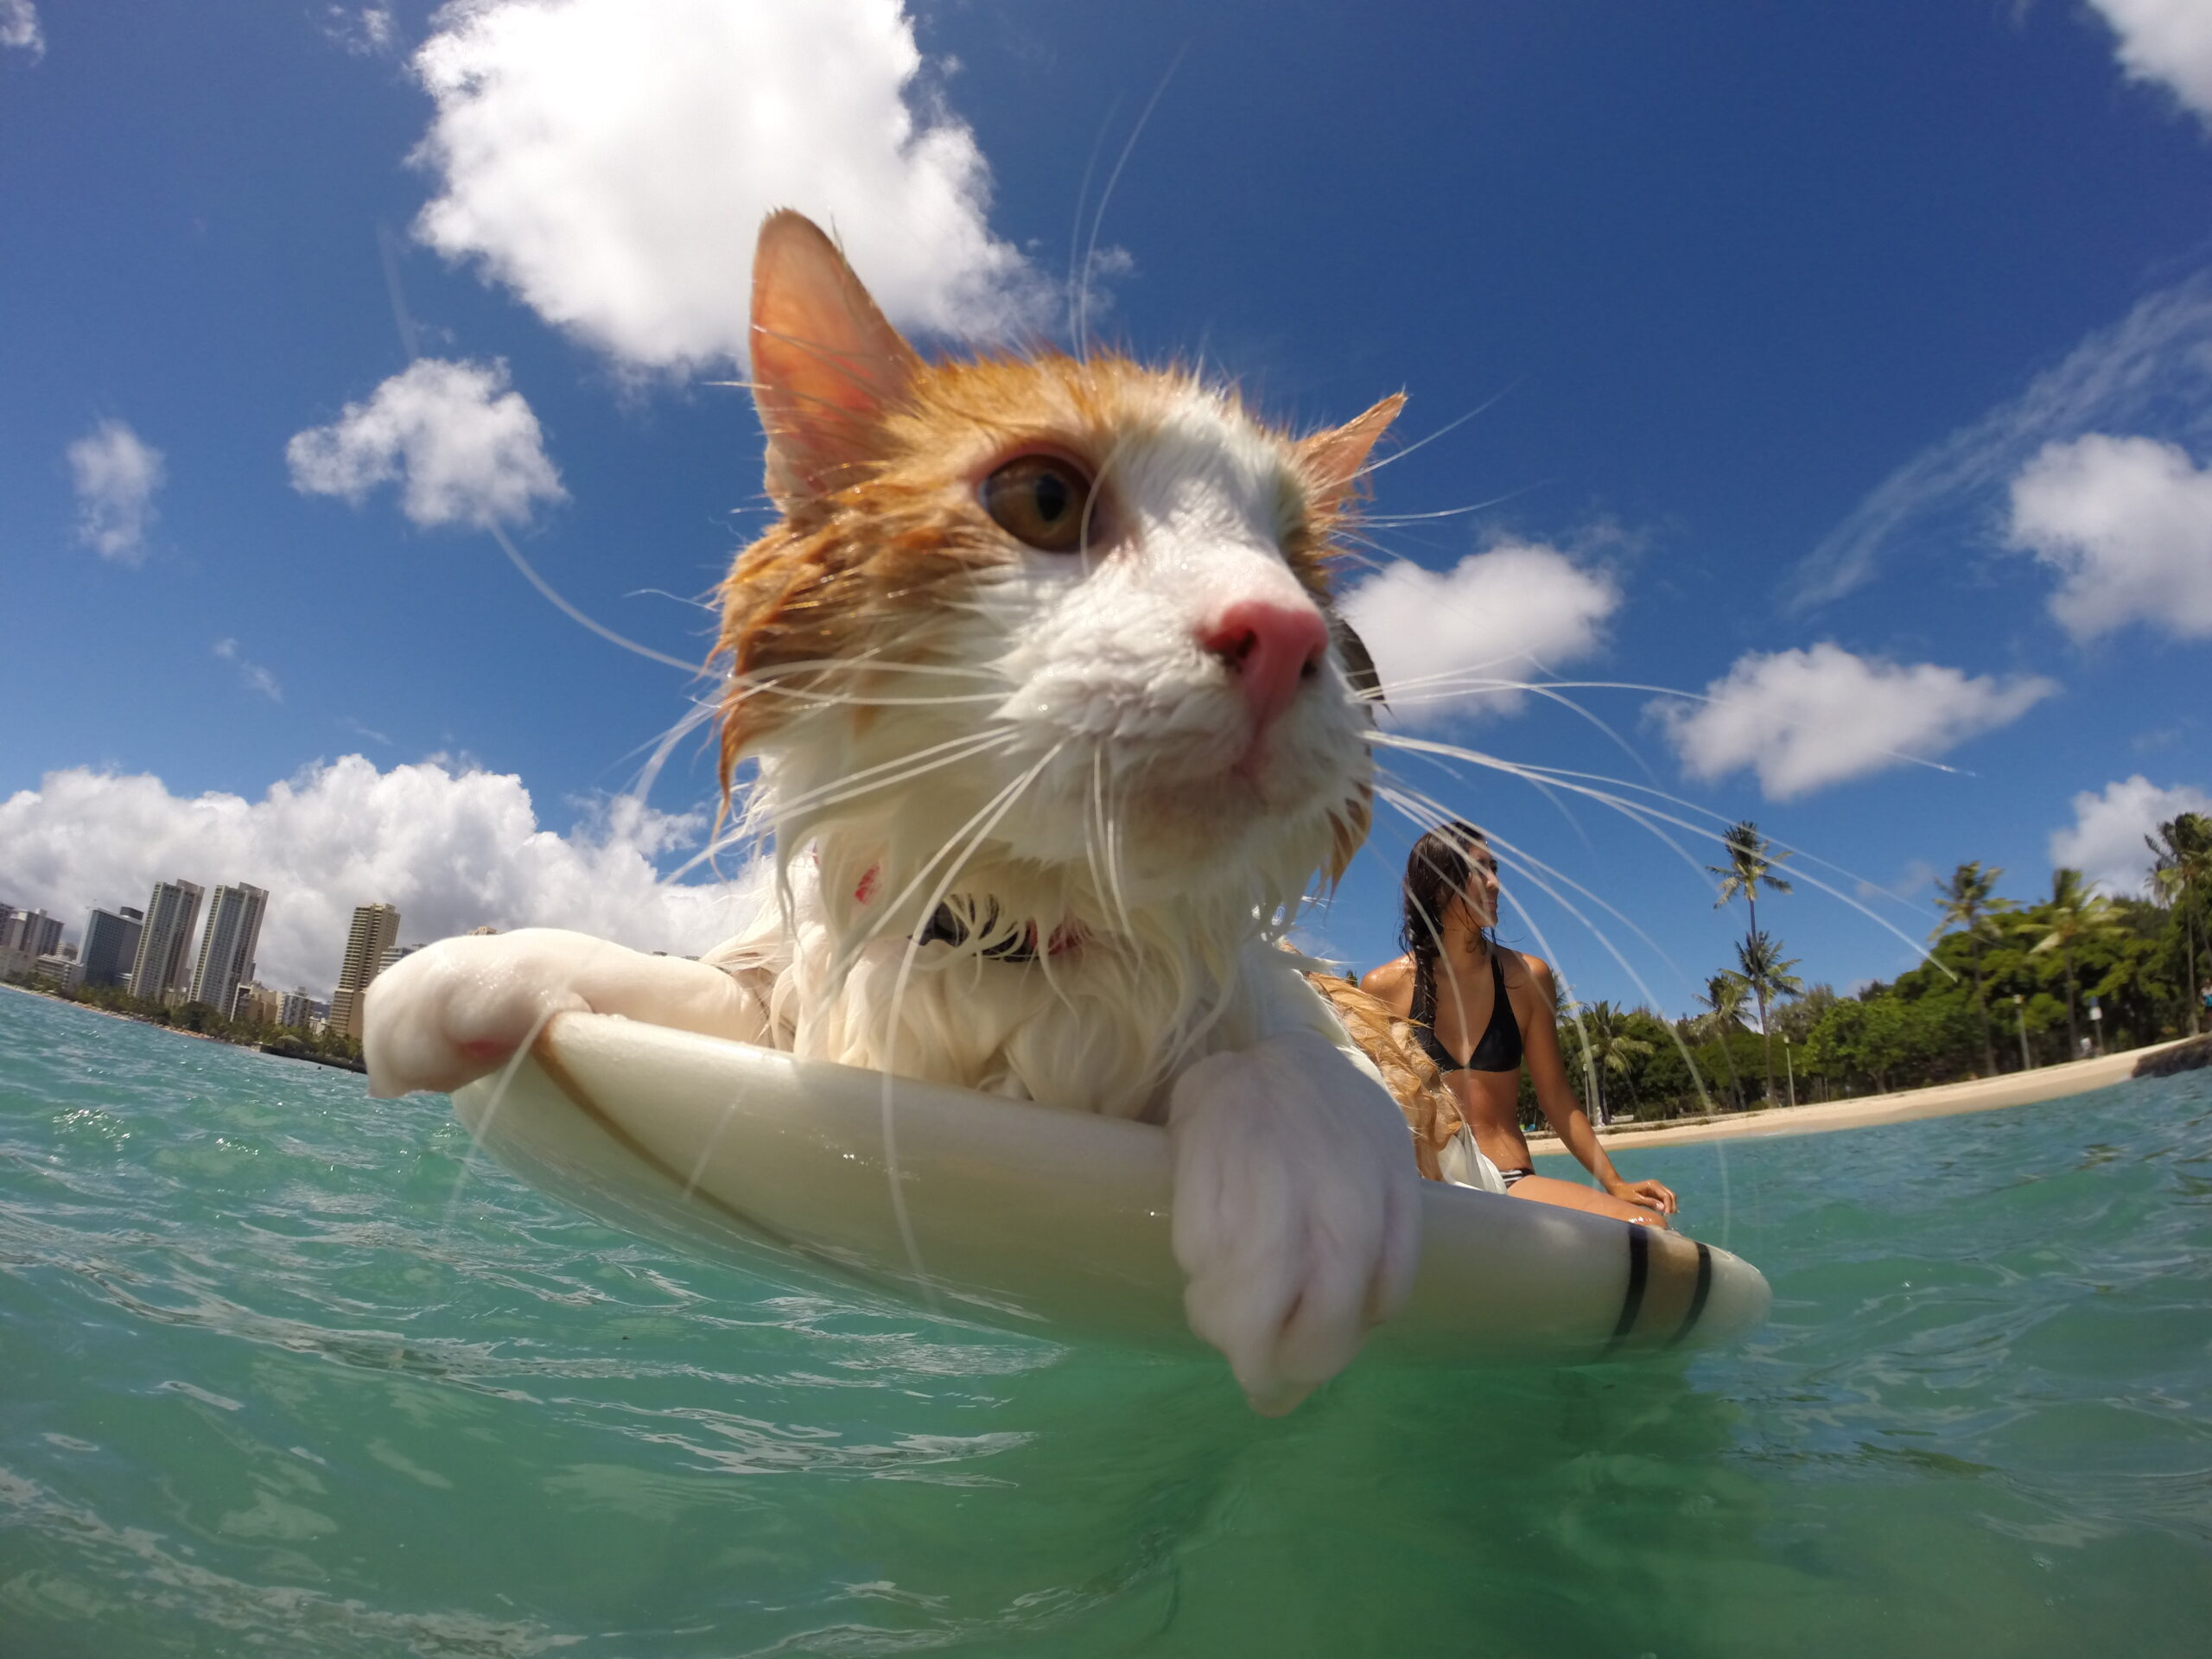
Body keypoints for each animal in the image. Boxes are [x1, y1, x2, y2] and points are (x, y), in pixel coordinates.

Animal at [372, 211, 1459, 1415]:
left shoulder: (1278, 1015)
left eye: (1302, 575)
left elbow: (1296, 1056)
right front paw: (486, 964)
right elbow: (684, 981)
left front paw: (1303, 1183)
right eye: (1043, 498)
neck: (1004, 934)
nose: (1284, 633)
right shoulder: (807, 1020)